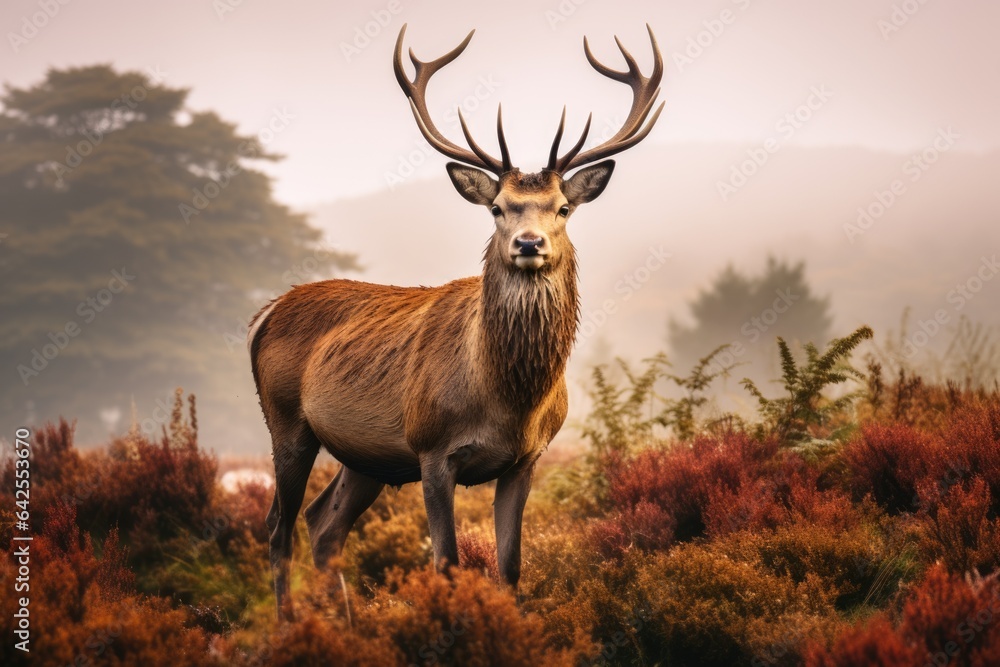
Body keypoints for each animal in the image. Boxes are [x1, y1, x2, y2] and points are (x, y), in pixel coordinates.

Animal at [249, 23, 663, 617]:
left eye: (563, 208)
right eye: (497, 208)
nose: (529, 243)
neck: (508, 401)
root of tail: (265, 313)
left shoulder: (525, 458)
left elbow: (510, 567)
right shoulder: (431, 449)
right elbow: (446, 563)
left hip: (367, 456)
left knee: (323, 522)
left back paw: (344, 625)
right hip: (286, 421)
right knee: (277, 526)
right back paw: (292, 626)